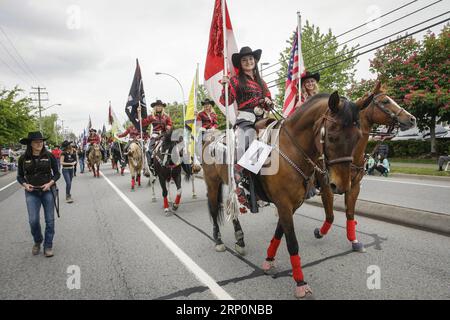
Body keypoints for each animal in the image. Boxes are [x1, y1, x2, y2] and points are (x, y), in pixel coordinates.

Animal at [200, 91, 366, 298]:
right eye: (332, 135)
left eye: (358, 137)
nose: (342, 185)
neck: (291, 151)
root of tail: (211, 138)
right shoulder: (284, 204)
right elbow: (292, 242)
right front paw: (300, 283)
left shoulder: (291, 205)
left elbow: (279, 233)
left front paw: (268, 260)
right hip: (212, 183)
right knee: (215, 210)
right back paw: (219, 241)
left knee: (233, 209)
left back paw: (240, 240)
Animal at [314, 80, 416, 250]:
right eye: (385, 101)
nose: (412, 119)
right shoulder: (327, 186)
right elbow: (330, 215)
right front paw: (320, 232)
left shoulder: (353, 186)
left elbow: (350, 213)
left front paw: (354, 240)